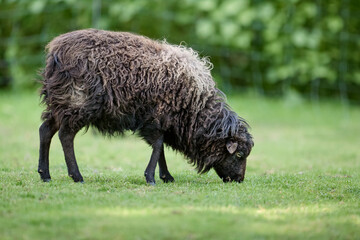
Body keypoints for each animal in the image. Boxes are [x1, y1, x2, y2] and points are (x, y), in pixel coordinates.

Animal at [38, 29, 255, 184]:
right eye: (239, 154)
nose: (239, 180)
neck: (194, 107)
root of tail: (56, 51)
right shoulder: (154, 118)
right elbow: (158, 146)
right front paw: (151, 177)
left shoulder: (161, 122)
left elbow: (160, 148)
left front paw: (166, 177)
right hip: (77, 103)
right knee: (65, 136)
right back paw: (77, 176)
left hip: (60, 103)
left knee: (45, 130)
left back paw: (45, 174)